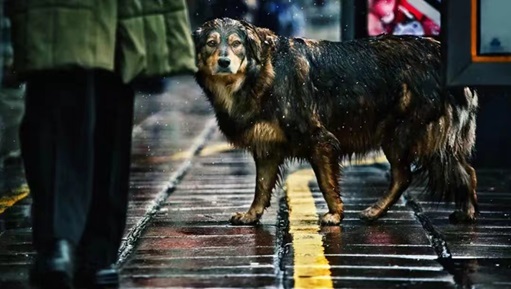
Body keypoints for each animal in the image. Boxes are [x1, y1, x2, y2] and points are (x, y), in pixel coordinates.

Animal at [193, 18, 480, 225]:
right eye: (211, 43)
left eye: (236, 43)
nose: (224, 61)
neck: (264, 72)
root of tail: (440, 53)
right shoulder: (267, 148)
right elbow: (261, 188)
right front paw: (251, 215)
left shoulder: (320, 139)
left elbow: (326, 183)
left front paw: (335, 215)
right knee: (465, 171)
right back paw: (464, 213)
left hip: (401, 134)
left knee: (406, 175)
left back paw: (377, 210)